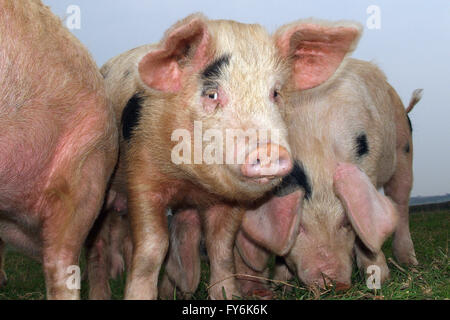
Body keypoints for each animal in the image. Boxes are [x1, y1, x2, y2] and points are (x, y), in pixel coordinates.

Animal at [92, 13, 294, 300]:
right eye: (212, 94)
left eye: (275, 93)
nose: (268, 150)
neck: (189, 182)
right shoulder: (141, 175)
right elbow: (153, 246)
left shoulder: (231, 200)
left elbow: (221, 247)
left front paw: (228, 295)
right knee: (98, 245)